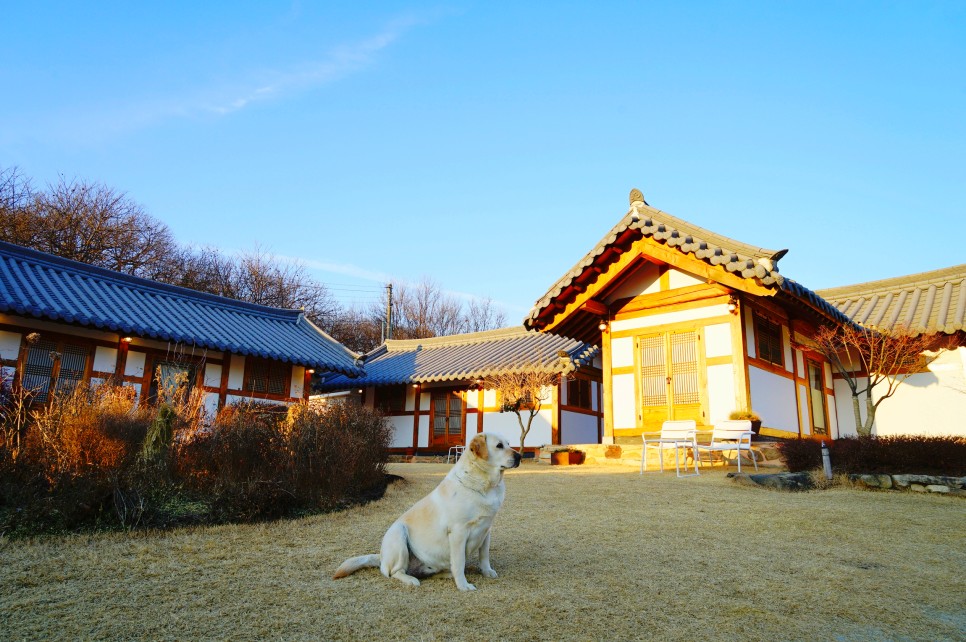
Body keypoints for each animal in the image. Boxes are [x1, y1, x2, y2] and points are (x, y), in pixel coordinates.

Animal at [334, 430, 520, 592]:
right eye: (499, 445)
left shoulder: (486, 529)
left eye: (508, 444)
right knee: (394, 572)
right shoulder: (458, 532)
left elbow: (484, 556)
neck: (485, 484)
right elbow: (459, 562)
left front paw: (486, 571)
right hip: (398, 533)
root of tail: (381, 556)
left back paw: (446, 573)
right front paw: (463, 586)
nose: (519, 456)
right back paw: (411, 580)